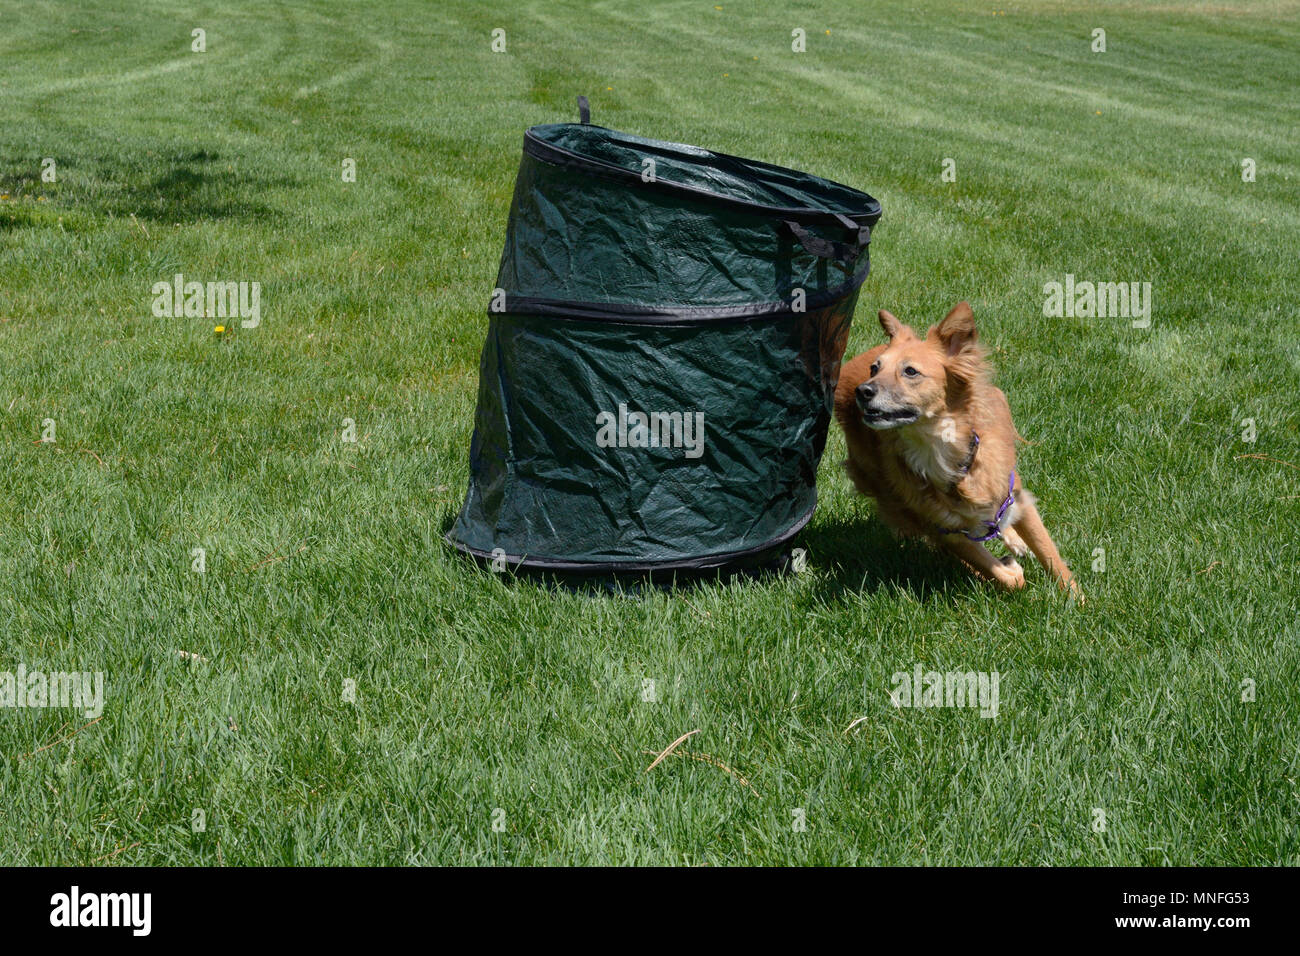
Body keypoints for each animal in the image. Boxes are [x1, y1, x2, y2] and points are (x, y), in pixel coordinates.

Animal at [837, 303, 1081, 598]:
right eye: (875, 369)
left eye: (910, 371)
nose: (862, 390)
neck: (939, 450)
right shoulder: (947, 531)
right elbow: (1003, 575)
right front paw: (1009, 570)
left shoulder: (1017, 497)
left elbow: (1051, 556)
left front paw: (1077, 600)